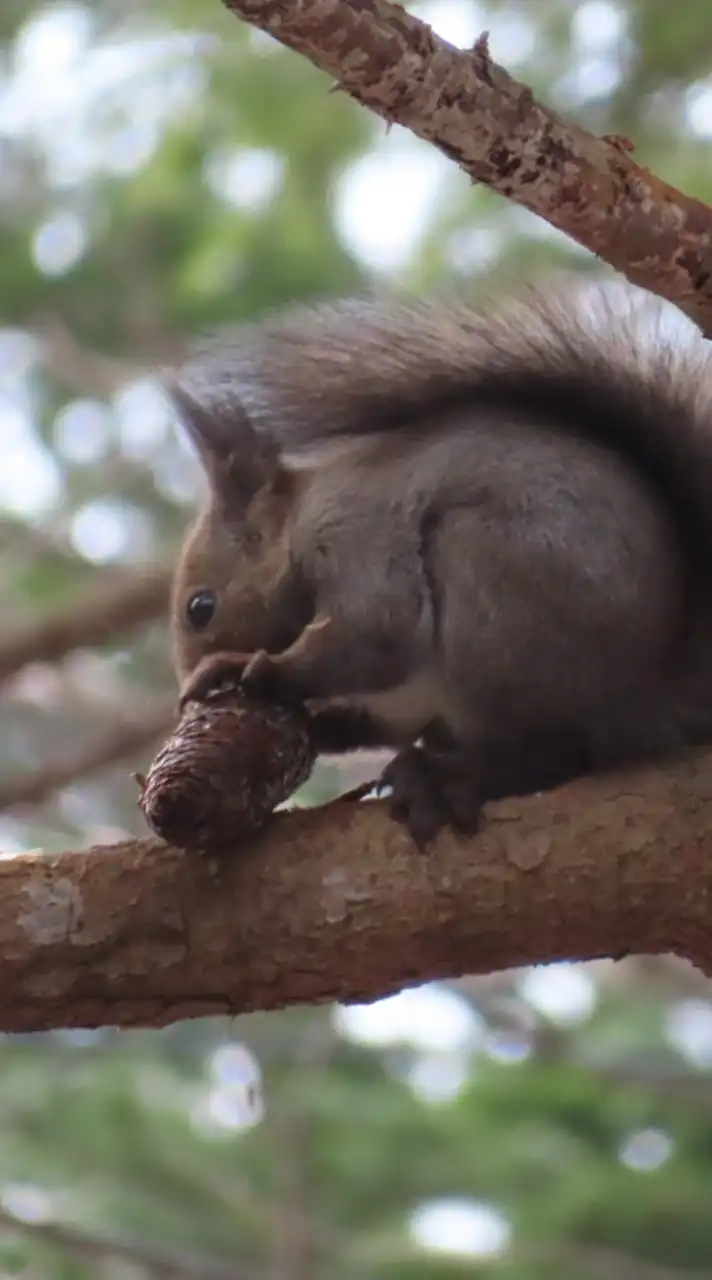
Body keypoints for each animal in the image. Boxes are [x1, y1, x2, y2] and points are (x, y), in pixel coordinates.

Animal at [163, 275, 712, 844]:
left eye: (200, 607)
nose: (187, 693)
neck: (299, 520)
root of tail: (650, 691)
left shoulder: (354, 534)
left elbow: (379, 628)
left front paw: (250, 669)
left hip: (496, 601)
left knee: (553, 752)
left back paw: (458, 776)